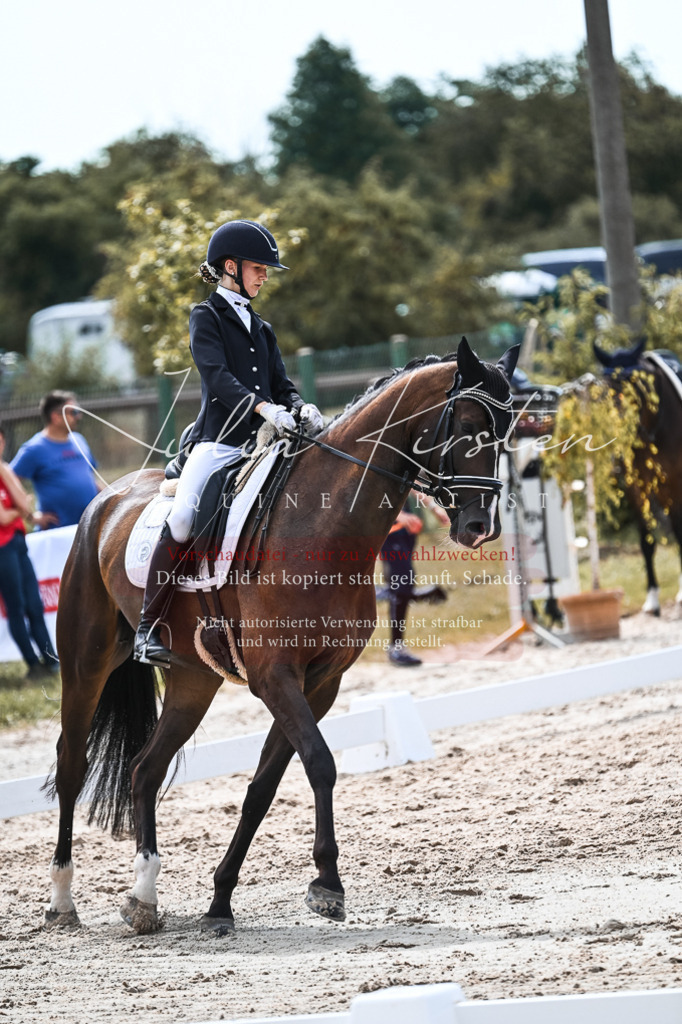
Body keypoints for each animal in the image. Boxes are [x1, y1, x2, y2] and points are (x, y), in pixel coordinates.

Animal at [45, 337, 519, 936]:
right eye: (469, 423)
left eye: (507, 430)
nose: (481, 527)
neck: (323, 526)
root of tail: (109, 498)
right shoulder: (275, 677)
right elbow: (319, 762)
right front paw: (327, 886)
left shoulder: (319, 682)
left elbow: (263, 787)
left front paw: (221, 902)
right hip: (85, 663)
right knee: (71, 765)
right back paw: (62, 901)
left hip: (193, 683)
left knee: (145, 769)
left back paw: (144, 897)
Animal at [593, 337, 682, 615]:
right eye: (605, 385)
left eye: (634, 383)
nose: (618, 430)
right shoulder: (637, 487)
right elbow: (646, 541)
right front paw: (652, 598)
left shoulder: (674, 484)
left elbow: (679, 533)